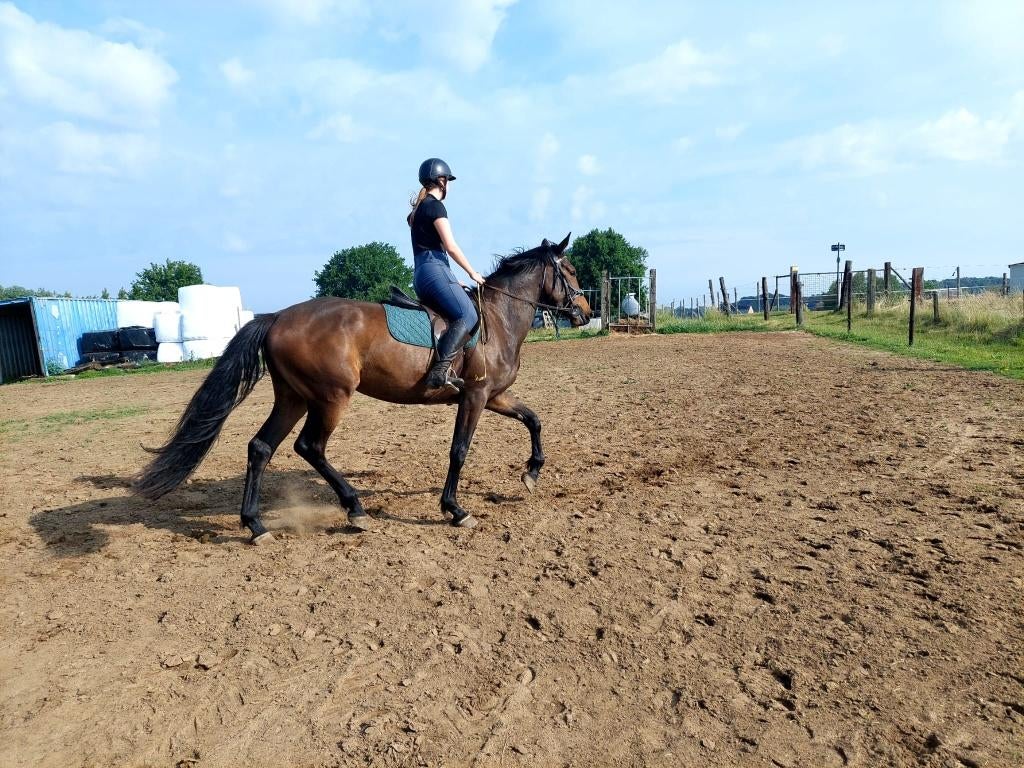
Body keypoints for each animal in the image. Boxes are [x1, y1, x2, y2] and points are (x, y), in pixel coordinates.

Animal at [135, 233, 592, 542]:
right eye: (569, 271)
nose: (585, 313)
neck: (498, 320)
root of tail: (278, 316)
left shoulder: (493, 396)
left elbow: (534, 420)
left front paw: (532, 472)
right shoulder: (475, 397)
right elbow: (459, 451)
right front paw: (454, 509)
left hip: (294, 398)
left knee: (261, 447)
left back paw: (256, 524)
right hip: (331, 397)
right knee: (310, 447)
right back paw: (354, 508)